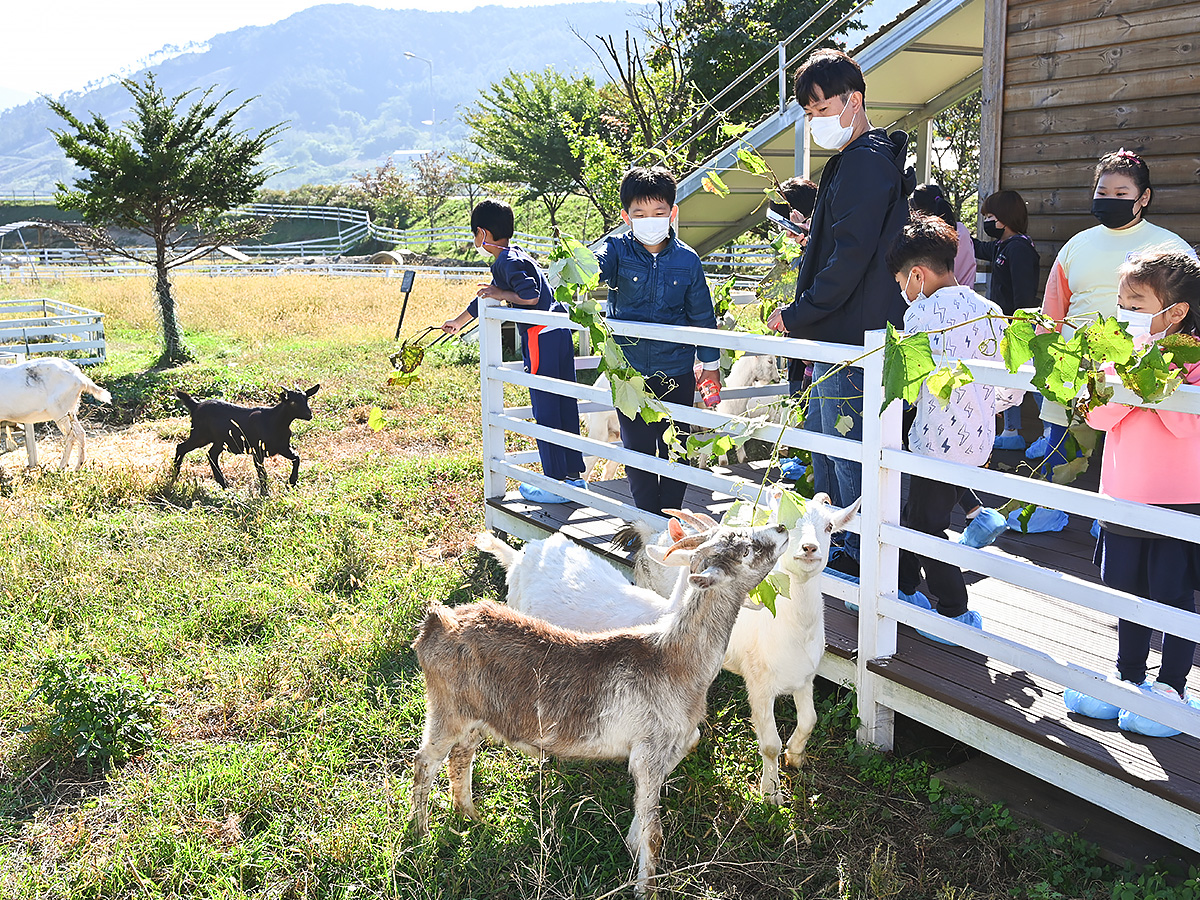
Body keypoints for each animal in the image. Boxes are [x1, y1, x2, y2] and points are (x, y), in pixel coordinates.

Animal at [171, 384, 319, 489]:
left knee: (211, 454)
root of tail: (196, 405)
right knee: (181, 447)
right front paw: (265, 493)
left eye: (306, 399)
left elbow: (296, 458)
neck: (275, 421)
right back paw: (174, 475)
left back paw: (223, 483)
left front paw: (291, 483)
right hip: (200, 435)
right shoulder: (257, 449)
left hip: (219, 441)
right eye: (293, 402)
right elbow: (262, 473)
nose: (309, 415)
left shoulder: (282, 447)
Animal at [408, 520, 792, 897]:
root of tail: (437, 623)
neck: (673, 660)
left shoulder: (665, 749)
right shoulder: (649, 752)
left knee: (461, 757)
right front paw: (645, 888)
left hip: (474, 716)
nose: (783, 528)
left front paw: (633, 840)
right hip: (446, 711)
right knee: (425, 762)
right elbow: (655, 832)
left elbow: (649, 807)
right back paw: (420, 833)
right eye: (745, 548)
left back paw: (468, 814)